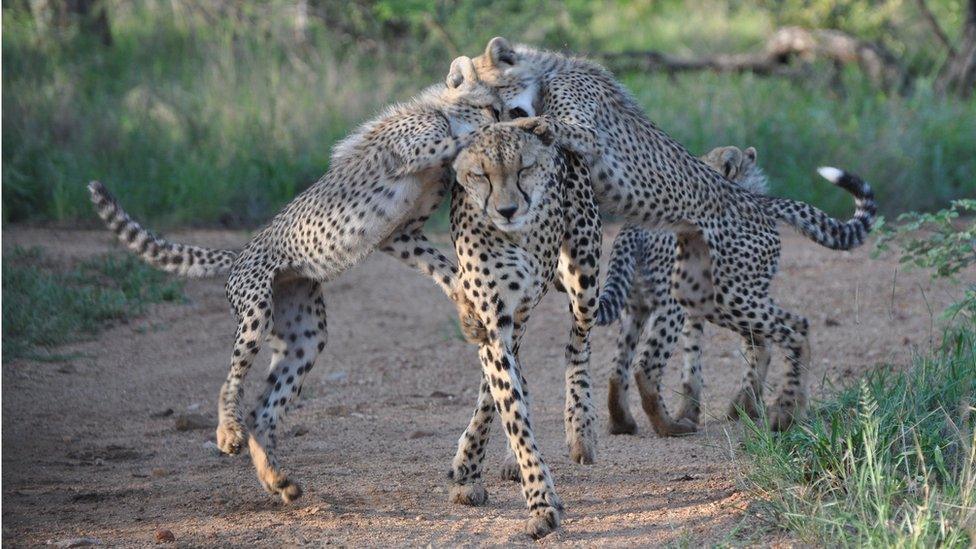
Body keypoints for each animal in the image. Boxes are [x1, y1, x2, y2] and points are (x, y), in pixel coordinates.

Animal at [88, 57, 504, 504]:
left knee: (264, 409)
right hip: (255, 313)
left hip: (304, 337)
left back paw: (278, 481)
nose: (504, 117)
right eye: (490, 107)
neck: (442, 111)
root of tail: (239, 253)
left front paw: (470, 313)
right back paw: (228, 433)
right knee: (232, 382)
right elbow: (463, 142)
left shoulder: (401, 235)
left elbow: (445, 268)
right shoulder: (412, 169)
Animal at [448, 120, 604, 536]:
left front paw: (539, 500)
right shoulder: (495, 321)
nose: (508, 209)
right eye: (481, 174)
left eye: (524, 169)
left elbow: (502, 398)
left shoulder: (517, 315)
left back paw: (580, 427)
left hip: (585, 277)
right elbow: (510, 407)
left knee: (577, 343)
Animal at [596, 146, 876, 436]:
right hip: (703, 303)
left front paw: (702, 409)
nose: (756, 195)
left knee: (619, 366)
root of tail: (632, 230)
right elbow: (756, 346)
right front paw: (743, 406)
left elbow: (695, 360)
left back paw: (623, 422)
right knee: (646, 366)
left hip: (641, 305)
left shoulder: (698, 310)